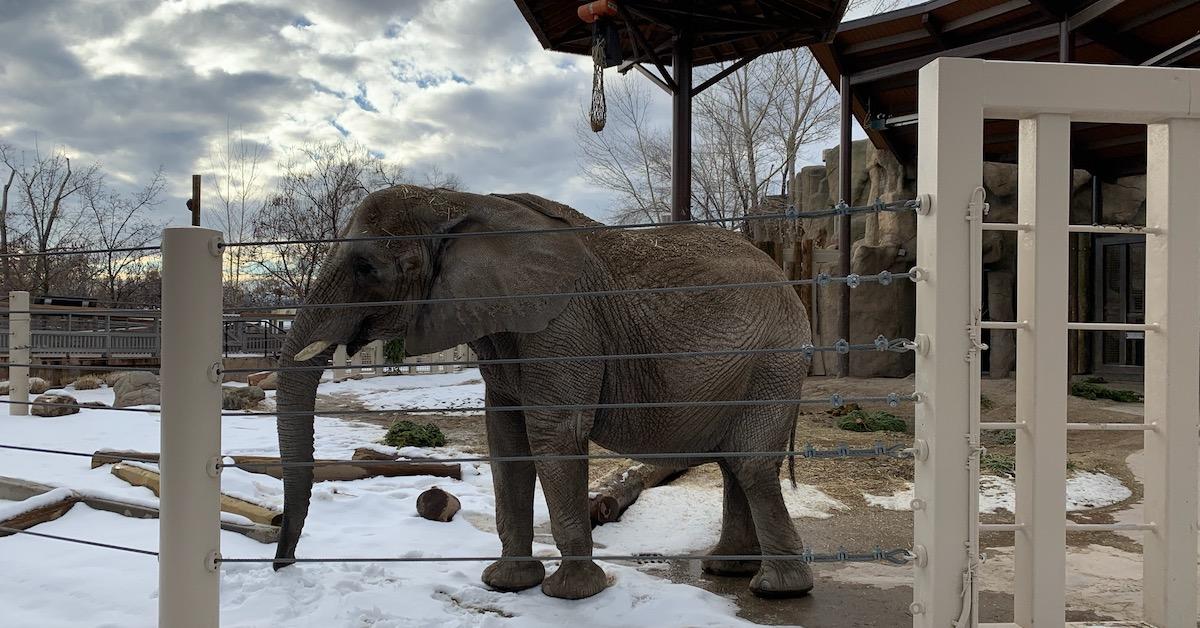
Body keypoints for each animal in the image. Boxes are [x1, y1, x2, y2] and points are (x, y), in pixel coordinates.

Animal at [272, 186, 816, 600]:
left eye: (366, 267)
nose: (282, 564)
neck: (456, 202)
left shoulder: (564, 322)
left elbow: (553, 432)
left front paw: (571, 593)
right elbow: (506, 438)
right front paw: (506, 583)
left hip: (775, 359)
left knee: (750, 463)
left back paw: (776, 589)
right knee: (734, 463)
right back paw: (726, 570)